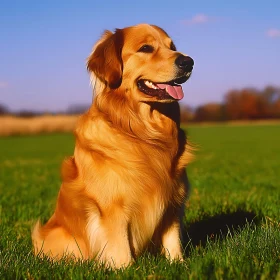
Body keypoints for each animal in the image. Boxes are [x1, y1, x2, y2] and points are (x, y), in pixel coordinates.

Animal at [31, 23, 195, 268]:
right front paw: (125, 269)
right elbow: (120, 249)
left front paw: (179, 264)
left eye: (172, 47)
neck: (141, 133)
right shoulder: (113, 209)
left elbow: (172, 240)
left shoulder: (173, 203)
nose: (188, 62)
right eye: (146, 48)